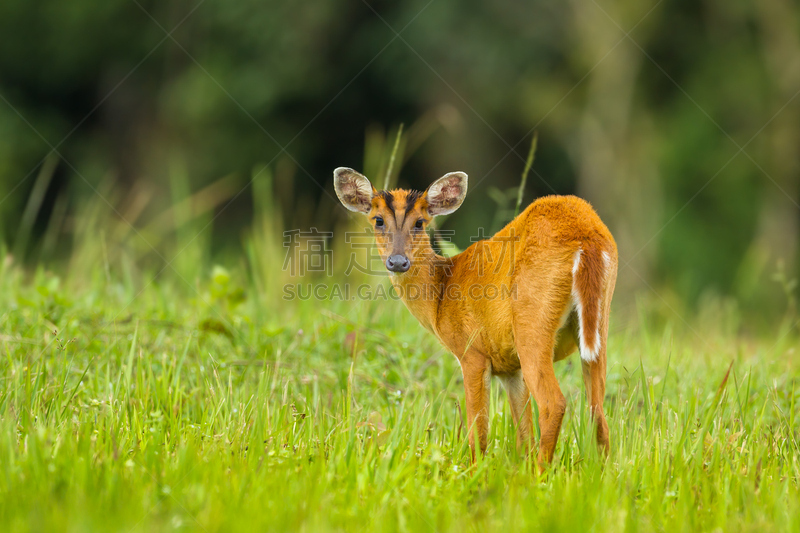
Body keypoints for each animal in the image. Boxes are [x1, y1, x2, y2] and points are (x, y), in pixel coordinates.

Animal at [332, 165, 620, 466]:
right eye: (378, 220)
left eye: (420, 222)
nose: (398, 261)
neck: (441, 294)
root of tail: (587, 238)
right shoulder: (509, 367)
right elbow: (523, 434)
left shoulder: (472, 352)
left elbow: (478, 432)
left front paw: (474, 470)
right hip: (598, 325)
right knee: (598, 411)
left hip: (532, 323)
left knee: (554, 403)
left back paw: (541, 473)